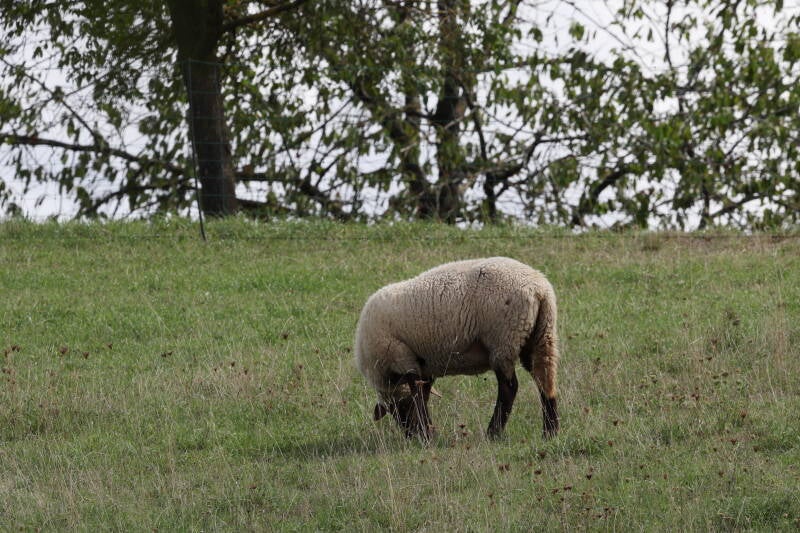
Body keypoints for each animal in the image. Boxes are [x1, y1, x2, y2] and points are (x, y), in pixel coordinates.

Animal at [354, 257, 560, 441]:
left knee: (509, 388)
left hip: (504, 340)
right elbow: (424, 395)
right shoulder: (424, 366)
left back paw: (493, 433)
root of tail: (539, 288)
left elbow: (418, 396)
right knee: (544, 381)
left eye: (400, 408)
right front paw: (429, 432)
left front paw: (426, 435)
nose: (410, 435)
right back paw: (550, 433)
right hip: (539, 335)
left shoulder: (402, 358)